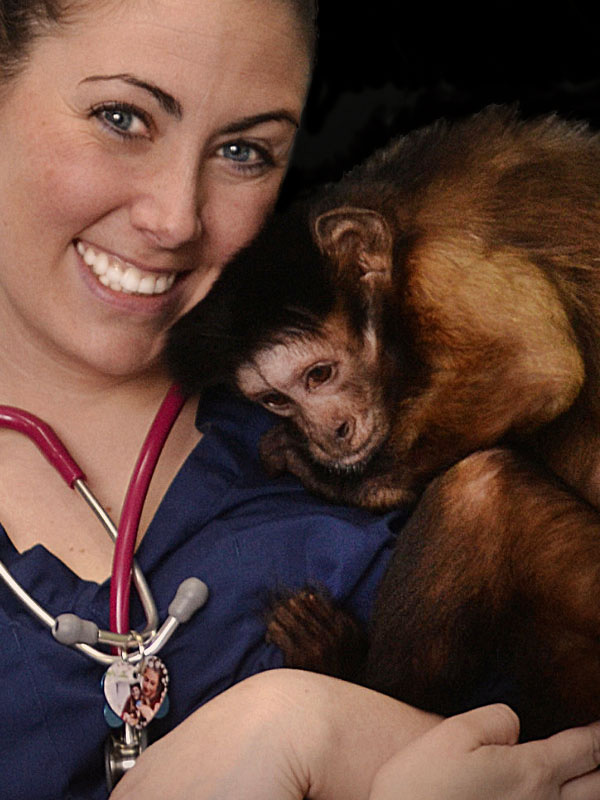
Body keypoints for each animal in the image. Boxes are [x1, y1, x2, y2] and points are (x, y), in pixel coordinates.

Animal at [166, 104, 600, 736]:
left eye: (319, 375)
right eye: (275, 399)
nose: (329, 433)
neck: (398, 214)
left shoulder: (437, 266)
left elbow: (534, 367)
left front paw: (330, 481)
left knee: (480, 487)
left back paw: (352, 674)